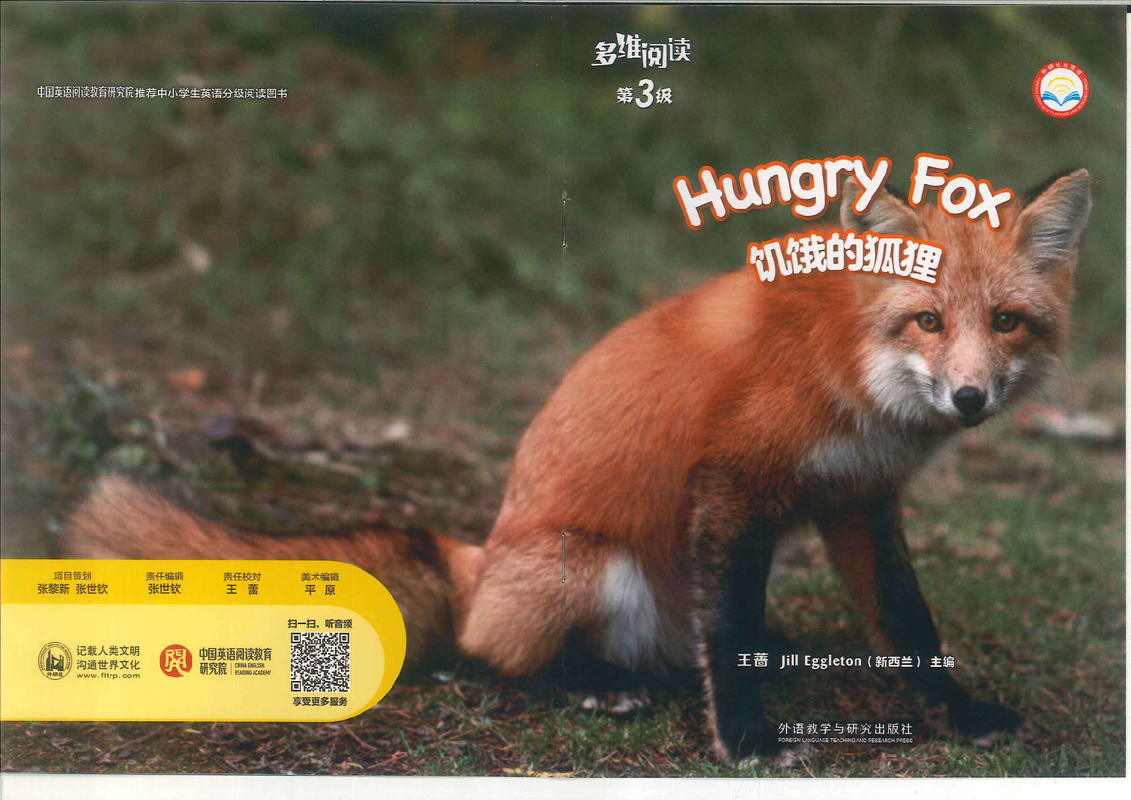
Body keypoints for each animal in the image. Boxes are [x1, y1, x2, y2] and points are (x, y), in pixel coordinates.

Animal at [66, 168, 1091, 763]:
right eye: (926, 320)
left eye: (1004, 322)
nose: (970, 399)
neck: (850, 372)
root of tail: (479, 556)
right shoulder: (730, 484)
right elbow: (729, 634)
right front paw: (746, 739)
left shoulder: (859, 500)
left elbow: (910, 626)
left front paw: (960, 715)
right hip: (590, 567)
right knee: (496, 654)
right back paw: (597, 684)